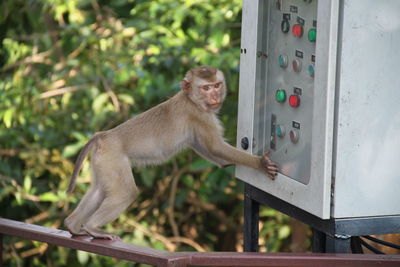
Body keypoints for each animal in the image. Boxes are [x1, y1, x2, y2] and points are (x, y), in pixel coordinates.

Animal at [65, 66, 278, 242]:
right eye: (206, 88)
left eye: (217, 85)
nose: (215, 96)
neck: (190, 99)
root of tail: (104, 135)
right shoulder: (199, 116)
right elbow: (215, 146)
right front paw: (260, 163)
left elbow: (202, 146)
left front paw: (225, 164)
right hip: (113, 159)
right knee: (125, 191)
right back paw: (93, 227)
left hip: (102, 162)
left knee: (99, 190)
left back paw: (73, 225)